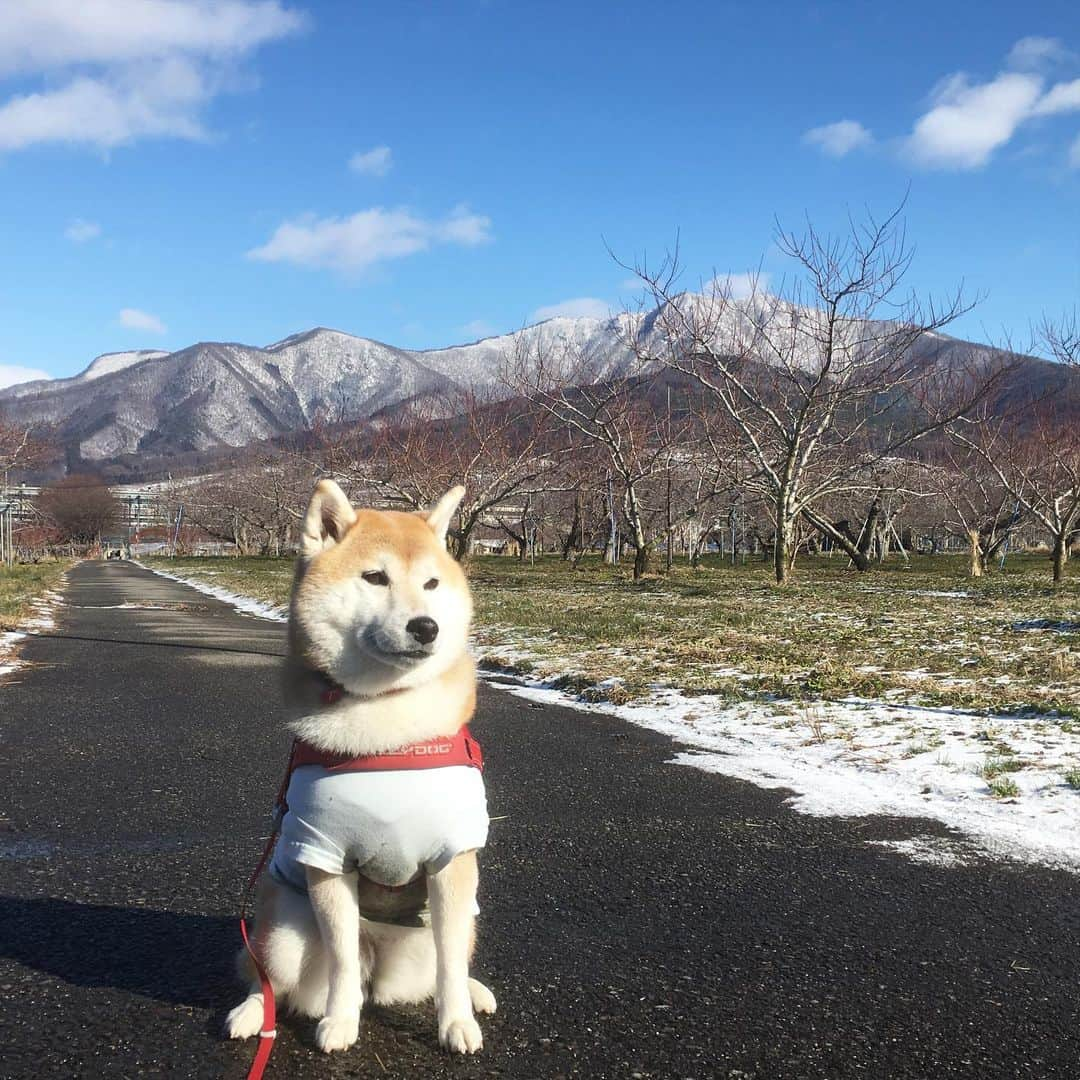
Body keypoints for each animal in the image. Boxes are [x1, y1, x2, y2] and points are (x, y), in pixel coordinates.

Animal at [230, 481, 498, 1054]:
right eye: (375, 577)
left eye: (431, 583)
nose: (426, 626)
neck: (386, 725)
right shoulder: (326, 853)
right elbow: (341, 959)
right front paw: (339, 1020)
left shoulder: (453, 858)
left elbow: (448, 965)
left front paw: (457, 1022)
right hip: (282, 930)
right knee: (267, 976)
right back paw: (251, 1014)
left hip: (455, 923)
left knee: (448, 959)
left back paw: (474, 990)